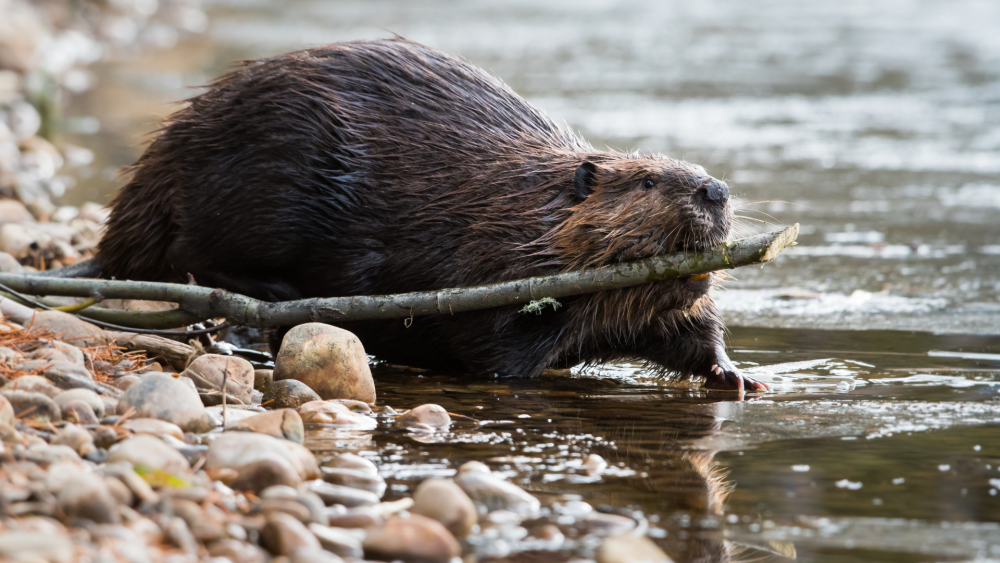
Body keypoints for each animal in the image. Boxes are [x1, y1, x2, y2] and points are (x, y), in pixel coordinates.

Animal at [90, 38, 768, 392]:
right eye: (648, 179)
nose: (715, 189)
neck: (527, 206)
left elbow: (691, 328)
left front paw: (738, 377)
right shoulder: (487, 263)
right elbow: (493, 348)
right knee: (196, 255)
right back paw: (274, 294)